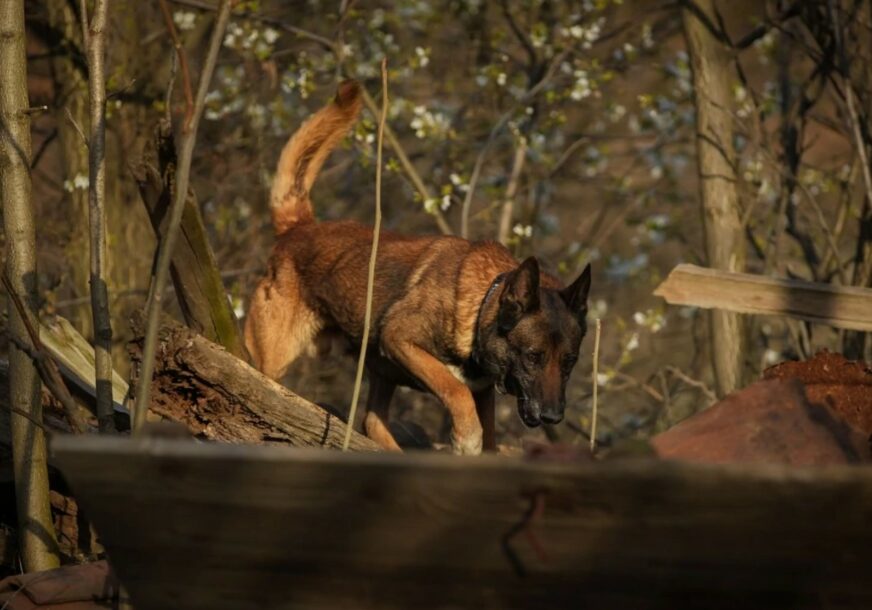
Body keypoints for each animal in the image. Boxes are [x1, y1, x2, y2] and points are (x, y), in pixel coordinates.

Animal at [244, 79, 592, 452]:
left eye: (569, 362)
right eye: (533, 356)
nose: (553, 417)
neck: (482, 304)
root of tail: (298, 227)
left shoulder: (481, 391)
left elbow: (487, 431)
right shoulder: (402, 339)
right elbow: (456, 390)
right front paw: (466, 438)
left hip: (379, 374)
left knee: (372, 421)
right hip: (275, 360)